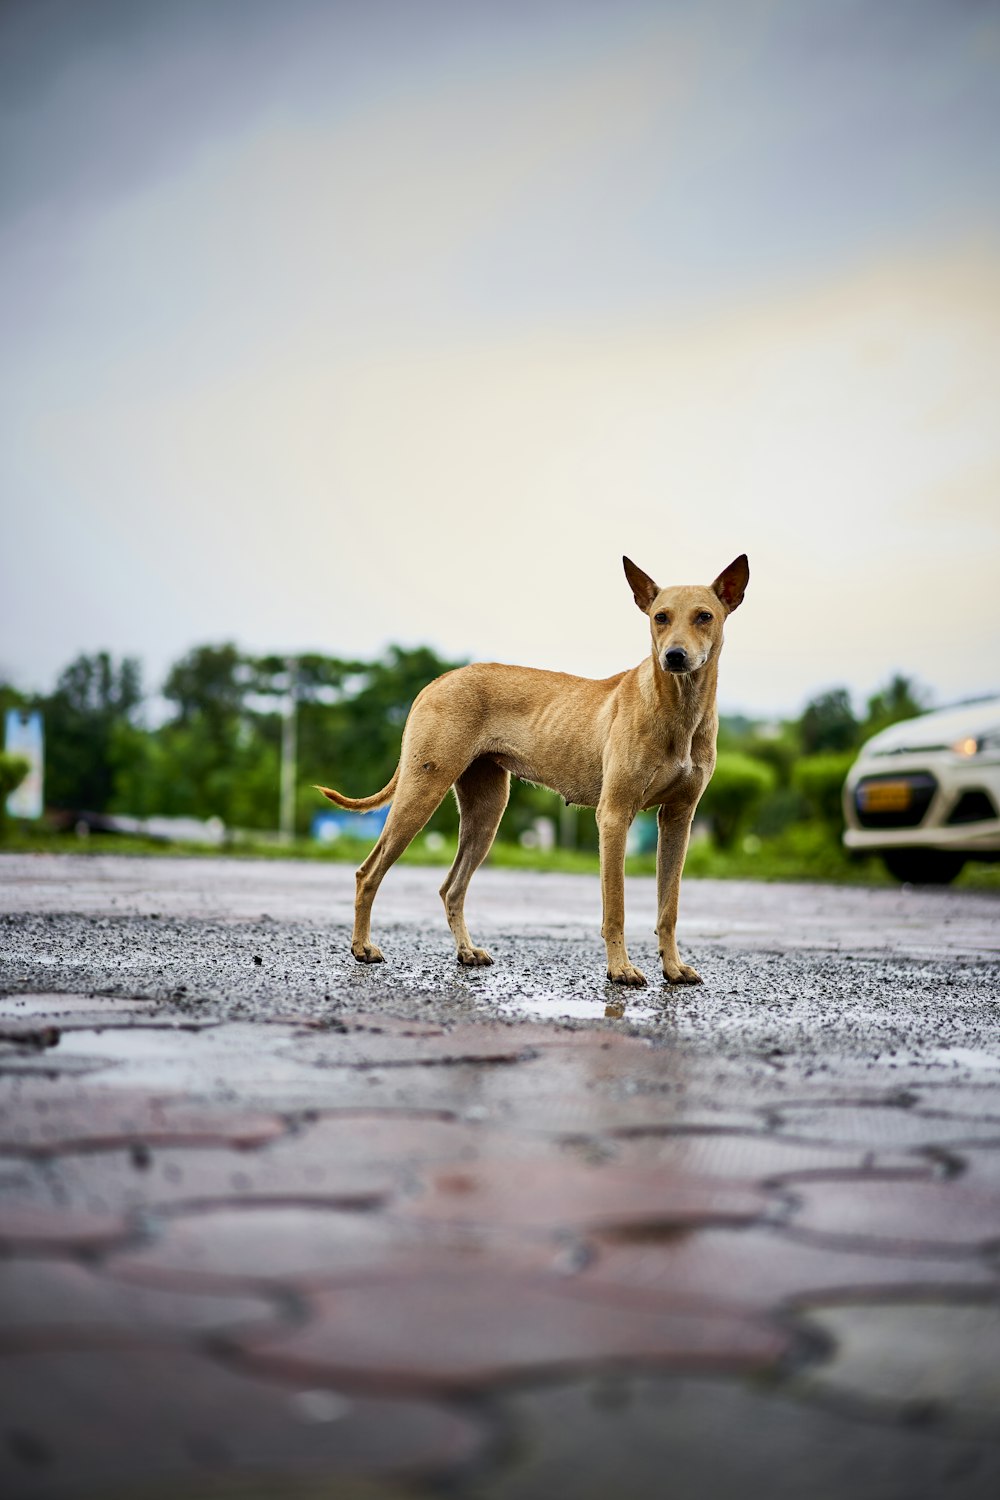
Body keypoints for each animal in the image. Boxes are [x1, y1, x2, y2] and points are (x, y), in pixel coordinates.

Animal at [316, 552, 746, 984]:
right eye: (660, 617)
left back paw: (466, 950)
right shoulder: (614, 816)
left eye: (704, 616)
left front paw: (673, 967)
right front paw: (620, 968)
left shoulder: (678, 820)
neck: (678, 707)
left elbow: (668, 907)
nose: (673, 656)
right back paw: (362, 947)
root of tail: (440, 679)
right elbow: (616, 907)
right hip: (421, 792)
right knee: (368, 873)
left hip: (486, 813)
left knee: (451, 887)